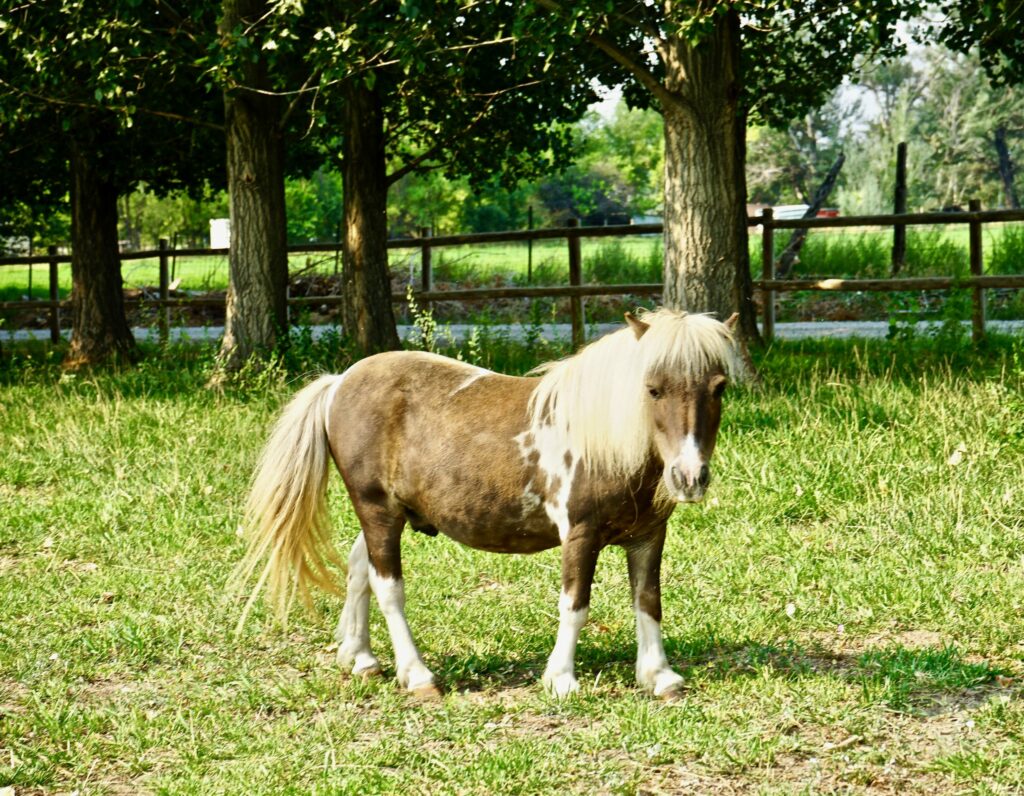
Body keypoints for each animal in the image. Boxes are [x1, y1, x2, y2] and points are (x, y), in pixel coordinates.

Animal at [235, 307, 741, 700]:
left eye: (718, 388)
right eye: (652, 388)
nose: (689, 476)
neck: (606, 441)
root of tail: (339, 381)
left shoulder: (647, 537)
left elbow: (648, 601)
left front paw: (659, 676)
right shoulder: (581, 535)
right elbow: (575, 605)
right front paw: (561, 679)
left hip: (386, 515)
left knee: (360, 569)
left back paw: (360, 658)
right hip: (376, 509)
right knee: (387, 586)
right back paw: (417, 675)